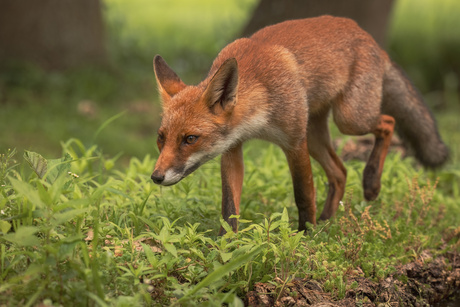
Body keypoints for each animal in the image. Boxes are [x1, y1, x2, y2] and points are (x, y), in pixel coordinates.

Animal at [152, 15, 450, 235]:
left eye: (190, 139)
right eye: (161, 137)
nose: (156, 177)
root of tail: (368, 37)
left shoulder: (294, 142)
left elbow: (304, 194)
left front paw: (305, 237)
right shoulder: (232, 149)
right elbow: (229, 207)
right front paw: (228, 246)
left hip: (349, 119)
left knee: (388, 122)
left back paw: (370, 183)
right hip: (317, 135)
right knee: (340, 172)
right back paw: (328, 222)